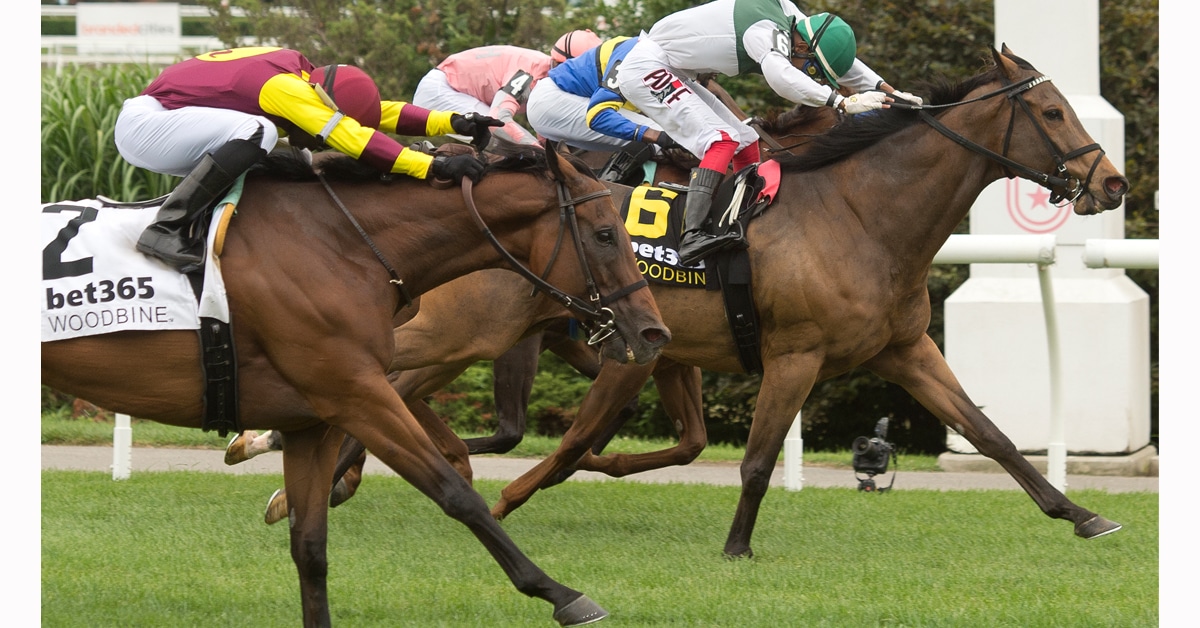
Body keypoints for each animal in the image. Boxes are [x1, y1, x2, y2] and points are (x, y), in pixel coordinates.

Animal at [41, 141, 669, 627]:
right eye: (606, 233)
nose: (652, 331)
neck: (343, 244)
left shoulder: (312, 421)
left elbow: (310, 545)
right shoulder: (356, 393)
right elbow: (457, 493)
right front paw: (562, 595)